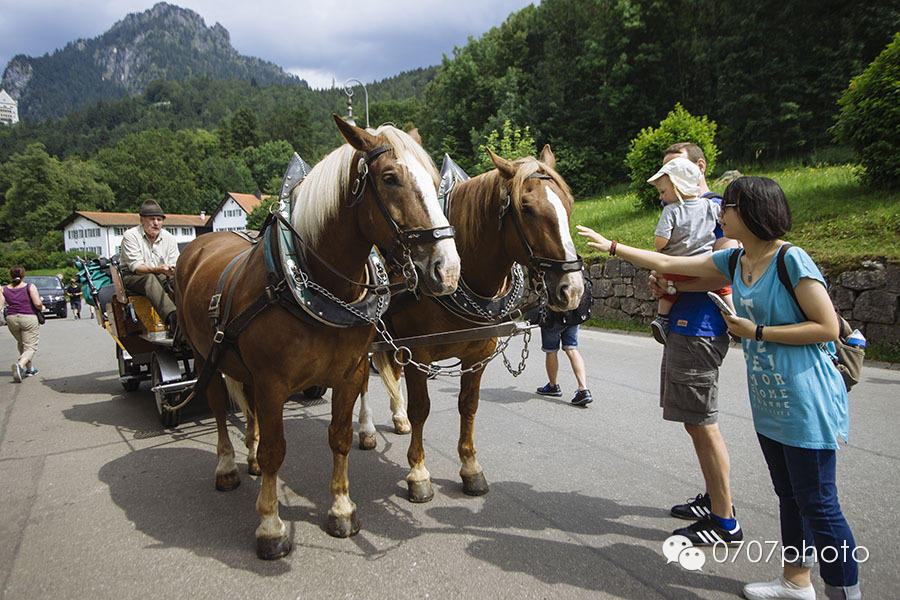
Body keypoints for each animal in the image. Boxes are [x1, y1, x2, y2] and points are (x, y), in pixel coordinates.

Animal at [175, 116, 460, 556]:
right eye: (390, 178)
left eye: (434, 180)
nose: (447, 270)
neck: (315, 284)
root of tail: (201, 243)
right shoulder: (272, 383)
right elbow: (276, 452)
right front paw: (271, 526)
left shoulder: (348, 373)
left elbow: (339, 438)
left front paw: (341, 508)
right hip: (208, 355)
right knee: (221, 408)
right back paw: (226, 466)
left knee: (247, 408)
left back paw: (249, 455)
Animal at [358, 145, 584, 502]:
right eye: (526, 208)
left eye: (569, 204)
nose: (572, 289)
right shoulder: (417, 352)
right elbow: (421, 408)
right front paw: (418, 473)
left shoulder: (477, 353)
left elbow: (469, 406)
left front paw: (470, 467)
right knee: (363, 383)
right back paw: (367, 430)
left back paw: (397, 417)